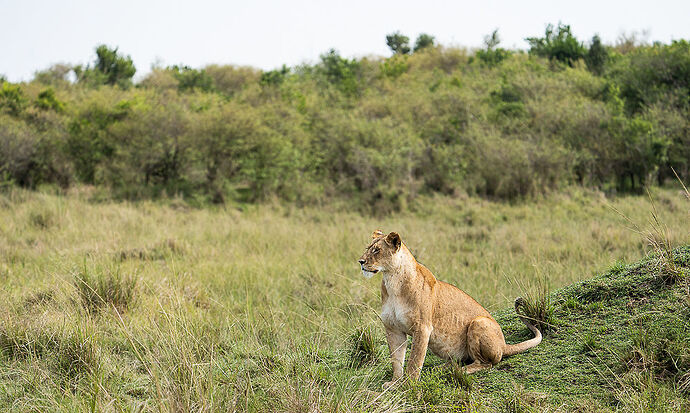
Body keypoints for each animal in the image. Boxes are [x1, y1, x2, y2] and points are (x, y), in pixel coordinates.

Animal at [358, 229, 540, 386]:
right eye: (367, 248)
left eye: (376, 250)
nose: (361, 262)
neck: (392, 281)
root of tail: (504, 345)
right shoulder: (393, 328)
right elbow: (396, 359)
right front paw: (394, 383)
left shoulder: (422, 328)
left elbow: (414, 360)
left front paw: (408, 385)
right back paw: (442, 368)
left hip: (479, 322)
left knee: (486, 363)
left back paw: (459, 371)